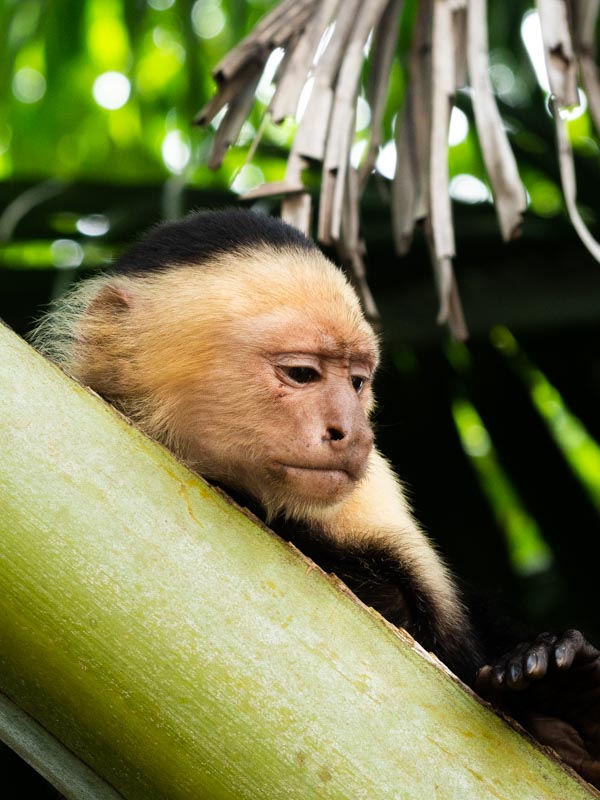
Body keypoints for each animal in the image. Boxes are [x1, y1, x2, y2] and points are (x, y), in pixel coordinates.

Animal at [31, 208, 600, 787]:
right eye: (302, 374)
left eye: (357, 381)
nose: (354, 433)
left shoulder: (375, 493)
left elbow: (449, 640)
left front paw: (561, 688)